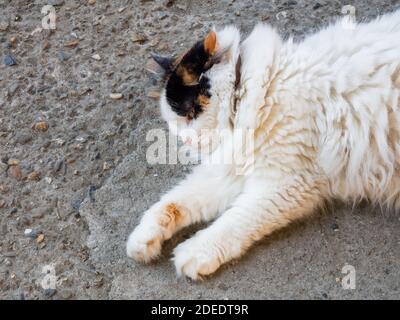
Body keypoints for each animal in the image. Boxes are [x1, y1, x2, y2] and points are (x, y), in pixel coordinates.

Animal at [126, 10, 400, 280]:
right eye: (176, 122)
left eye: (191, 113)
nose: (186, 140)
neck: (261, 89)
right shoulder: (233, 170)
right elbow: (173, 201)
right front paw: (143, 236)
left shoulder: (287, 184)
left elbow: (236, 220)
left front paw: (196, 252)